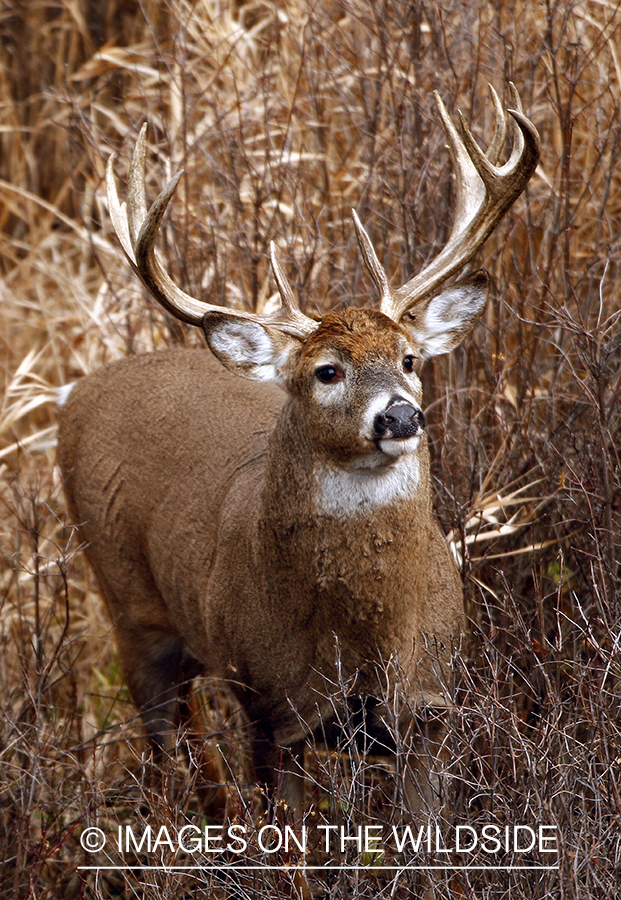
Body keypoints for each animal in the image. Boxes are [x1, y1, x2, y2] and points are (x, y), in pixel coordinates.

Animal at [60, 84, 540, 816]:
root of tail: (78, 391)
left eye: (408, 358)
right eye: (326, 371)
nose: (400, 415)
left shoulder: (430, 709)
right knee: (163, 745)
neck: (366, 639)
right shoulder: (272, 711)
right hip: (126, 604)